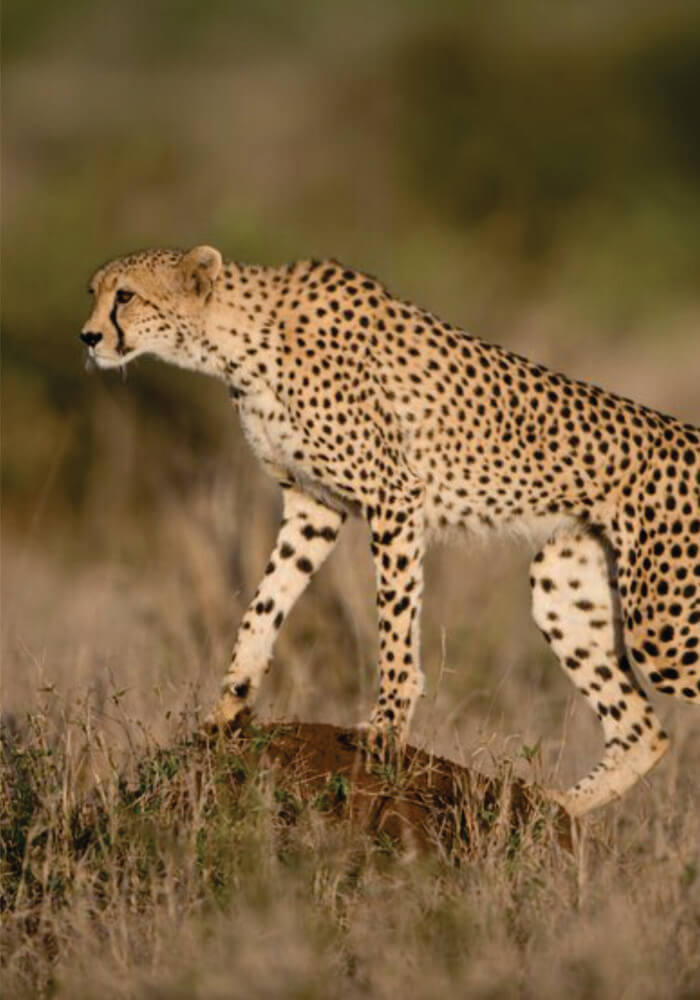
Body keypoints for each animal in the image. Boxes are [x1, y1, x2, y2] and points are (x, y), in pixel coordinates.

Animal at [83, 246, 700, 816]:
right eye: (95, 291)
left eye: (126, 296)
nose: (88, 337)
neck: (237, 342)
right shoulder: (313, 505)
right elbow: (265, 603)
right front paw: (228, 708)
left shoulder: (395, 496)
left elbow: (395, 624)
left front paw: (383, 731)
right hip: (563, 589)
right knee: (645, 732)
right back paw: (552, 809)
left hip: (663, 631)